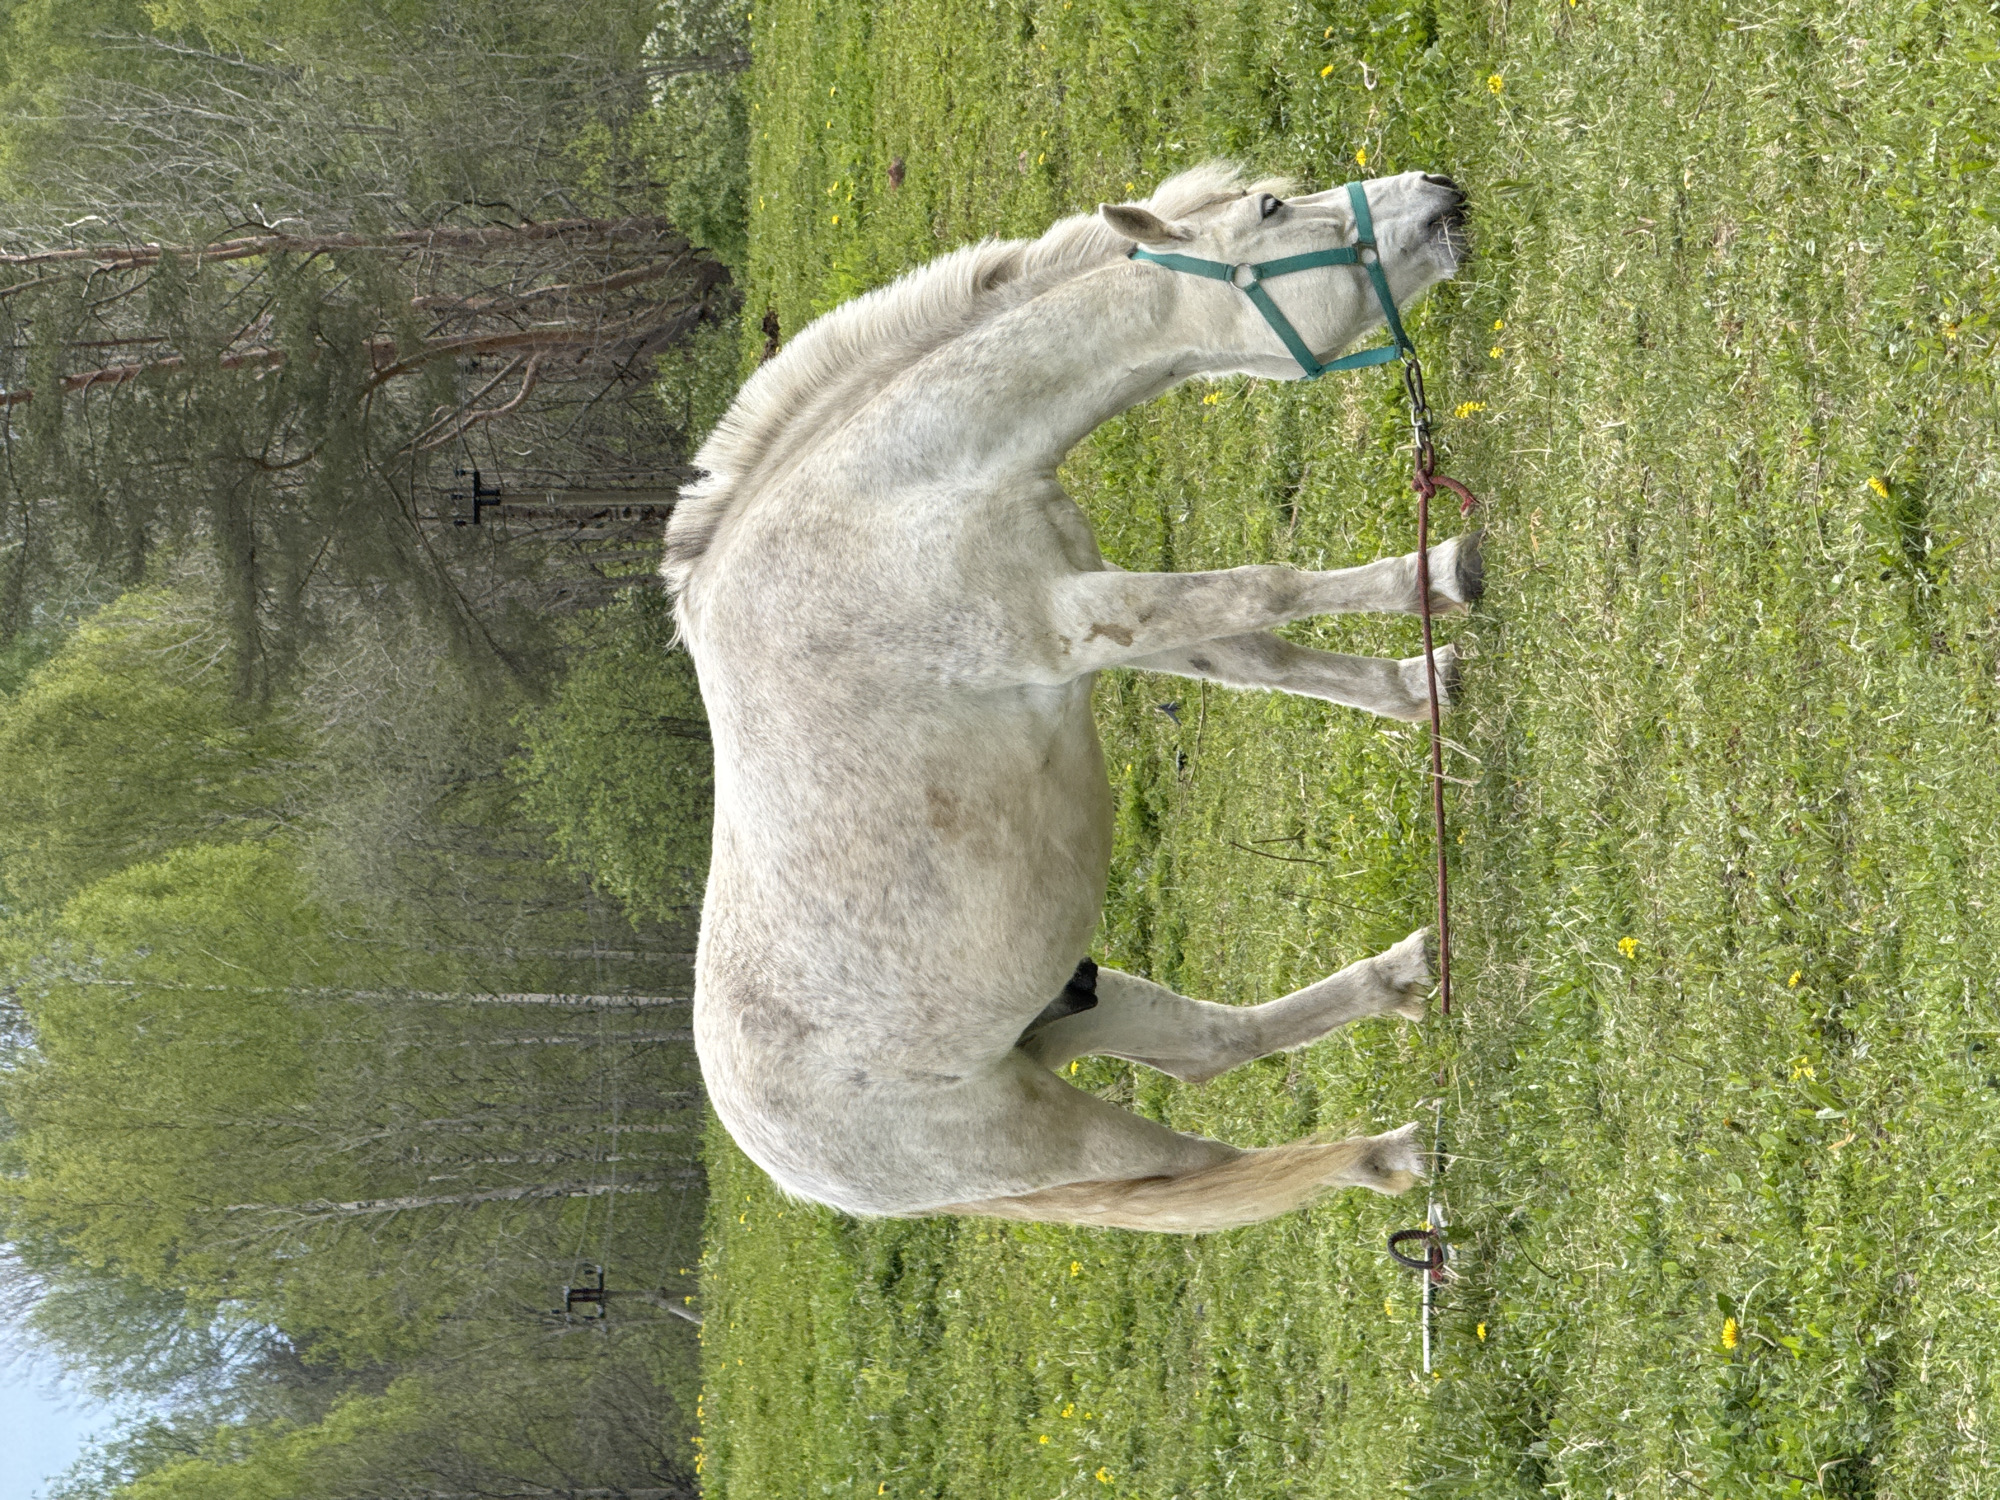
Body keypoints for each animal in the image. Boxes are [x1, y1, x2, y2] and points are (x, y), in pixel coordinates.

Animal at [665, 165, 1478, 1233]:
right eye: (1270, 209)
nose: (1440, 191)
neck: (891, 501)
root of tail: (793, 1168)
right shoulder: (1071, 621)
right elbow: (1268, 587)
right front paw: (1443, 585)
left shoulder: (1095, 608)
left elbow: (1257, 651)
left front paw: (1425, 658)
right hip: (1060, 1139)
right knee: (1201, 1174)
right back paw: (1396, 1157)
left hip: (1075, 1010)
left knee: (1215, 1046)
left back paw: (1405, 974)